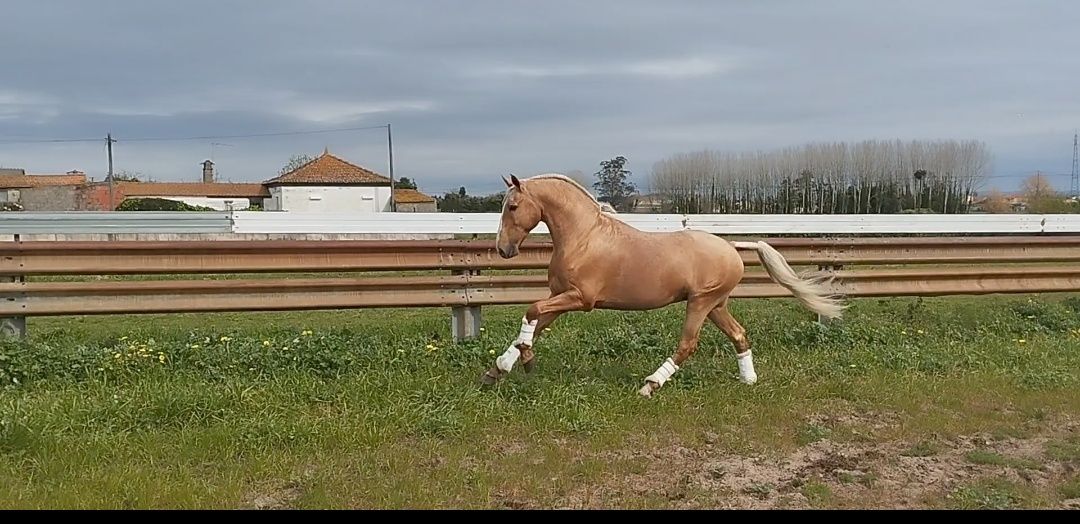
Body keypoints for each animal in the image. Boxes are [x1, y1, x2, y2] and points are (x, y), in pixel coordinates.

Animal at [481, 173, 842, 393]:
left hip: (700, 303)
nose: (503, 249)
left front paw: (523, 362)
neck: (584, 237)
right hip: (715, 305)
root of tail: (734, 247)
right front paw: (498, 369)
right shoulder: (560, 297)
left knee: (687, 345)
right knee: (739, 334)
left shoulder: (580, 299)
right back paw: (748, 380)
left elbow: (531, 311)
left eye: (513, 206)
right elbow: (533, 326)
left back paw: (650, 384)